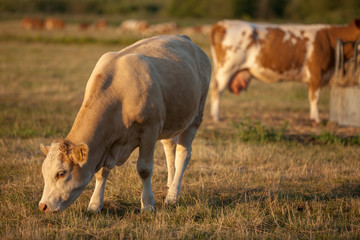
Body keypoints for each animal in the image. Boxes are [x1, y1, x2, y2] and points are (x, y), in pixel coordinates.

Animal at [37, 34, 211, 213]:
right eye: (44, 172)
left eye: (61, 173)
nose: (43, 206)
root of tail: (184, 38)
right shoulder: (108, 144)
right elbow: (102, 172)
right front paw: (95, 204)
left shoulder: (149, 130)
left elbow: (144, 169)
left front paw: (148, 204)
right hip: (171, 121)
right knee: (170, 149)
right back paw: (170, 186)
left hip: (196, 115)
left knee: (183, 155)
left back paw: (173, 195)